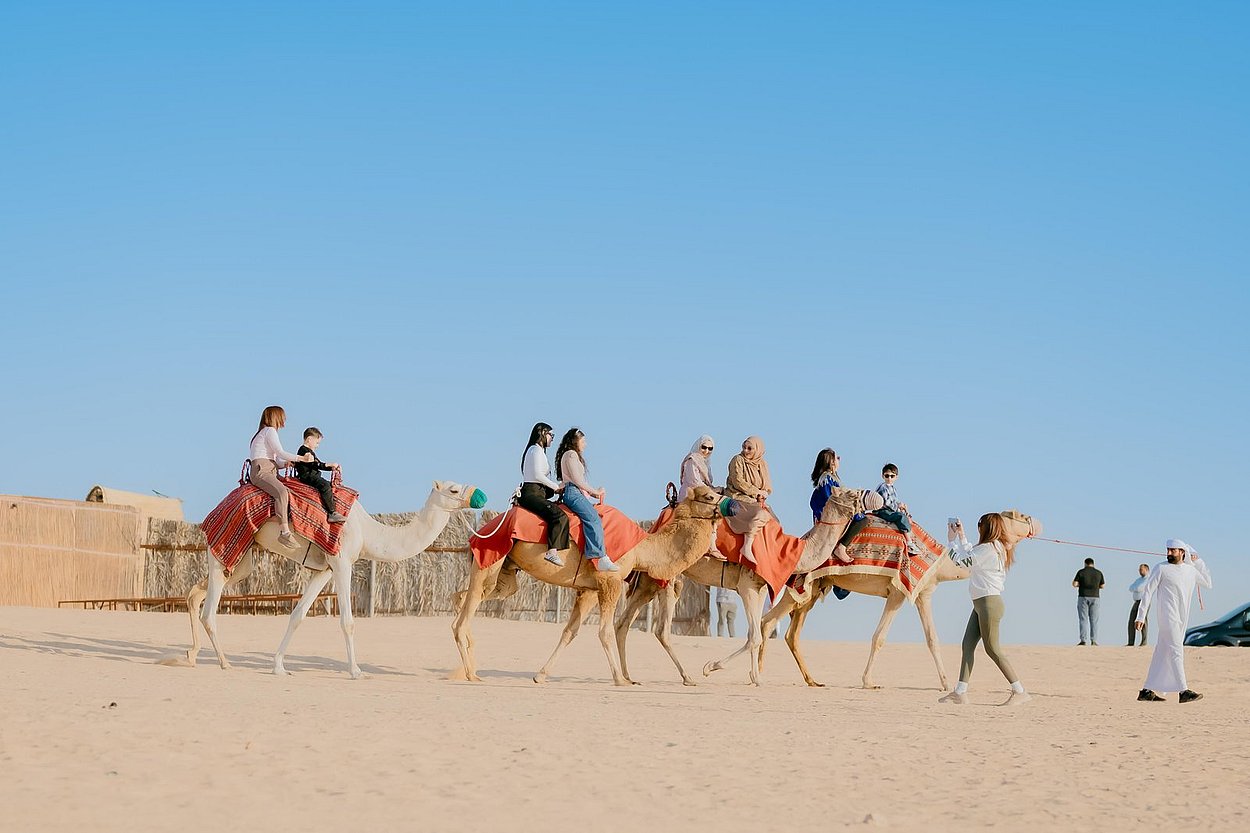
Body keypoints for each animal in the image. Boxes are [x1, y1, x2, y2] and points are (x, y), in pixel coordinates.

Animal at [169, 480, 483, 679]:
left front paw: (278, 666)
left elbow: (297, 615)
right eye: (454, 488)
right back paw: (224, 663)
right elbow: (347, 622)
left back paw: (191, 654)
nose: (479, 495)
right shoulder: (342, 562)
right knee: (209, 611)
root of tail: (214, 511)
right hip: (224, 547)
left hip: (240, 559)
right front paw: (356, 671)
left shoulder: (325, 569)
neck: (369, 532)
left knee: (197, 593)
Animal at [450, 486, 726, 686]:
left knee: (466, 598)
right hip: (490, 555)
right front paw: (619, 680)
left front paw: (541, 675)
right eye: (710, 495)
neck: (641, 549)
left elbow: (569, 632)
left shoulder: (591, 590)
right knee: (467, 611)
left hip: (505, 573)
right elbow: (604, 631)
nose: (729, 506)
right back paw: (471, 674)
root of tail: (478, 532)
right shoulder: (610, 581)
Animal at [615, 485, 885, 686]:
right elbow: (754, 635)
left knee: (624, 622)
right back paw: (687, 677)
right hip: (670, 577)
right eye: (851, 492)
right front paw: (711, 667)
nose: (874, 498)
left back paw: (629, 676)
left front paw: (754, 677)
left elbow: (755, 633)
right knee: (661, 629)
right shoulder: (746, 586)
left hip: (648, 581)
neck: (789, 550)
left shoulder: (759, 587)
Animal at [707, 509, 1041, 691]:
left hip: (812, 589)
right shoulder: (898, 592)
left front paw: (946, 684)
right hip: (798, 586)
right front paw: (868, 681)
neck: (939, 563)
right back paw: (727, 669)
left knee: (782, 629)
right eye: (1019, 515)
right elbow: (879, 637)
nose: (1038, 523)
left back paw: (800, 679)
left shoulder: (923, 593)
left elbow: (932, 639)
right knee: (767, 623)